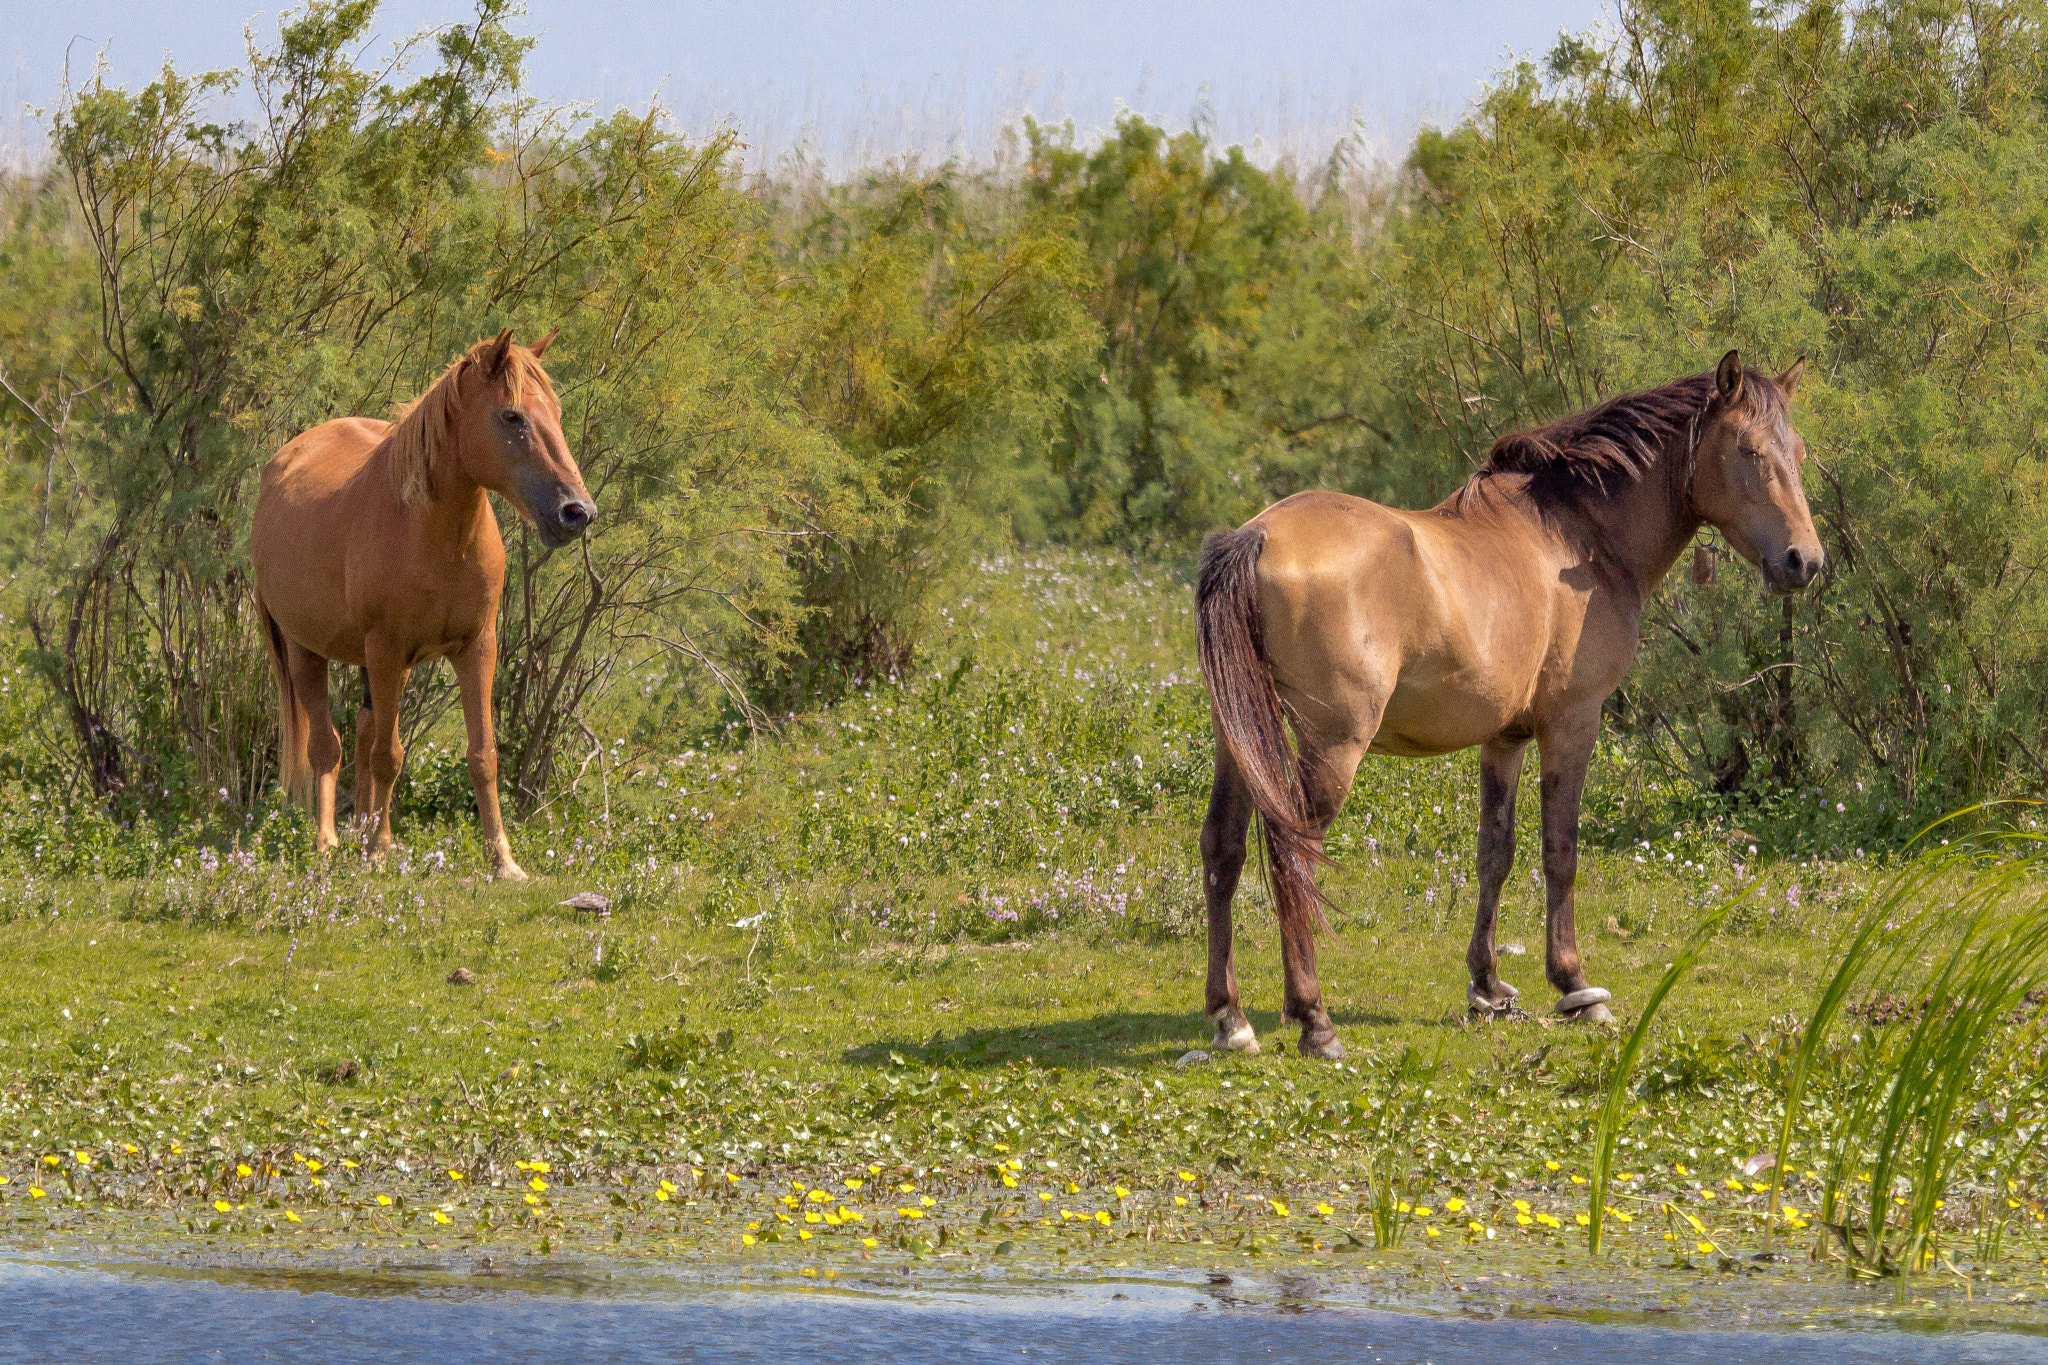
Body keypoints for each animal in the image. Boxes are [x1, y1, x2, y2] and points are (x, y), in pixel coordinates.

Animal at [251, 331, 598, 888]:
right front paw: (377, 852)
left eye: (557, 412)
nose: (576, 512)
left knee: (364, 733)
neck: (433, 536)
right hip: (308, 652)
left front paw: (502, 859)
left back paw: (361, 829)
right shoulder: (387, 651)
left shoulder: (476, 649)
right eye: (512, 417)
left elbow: (482, 756)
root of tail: (281, 464)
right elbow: (388, 755)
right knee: (328, 746)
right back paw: (330, 844)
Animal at [1196, 349, 1826, 1055]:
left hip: (1239, 736)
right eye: (1749, 450)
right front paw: (1575, 987)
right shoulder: (1572, 723)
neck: (1580, 539)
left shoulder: (1505, 737)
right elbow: (1560, 851)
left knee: (1224, 849)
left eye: (1798, 453)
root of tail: (1254, 537)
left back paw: (1231, 1018)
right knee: (1292, 856)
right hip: (1333, 746)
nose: (1805, 561)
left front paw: (1488, 986)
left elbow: (1494, 853)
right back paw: (1314, 1020)